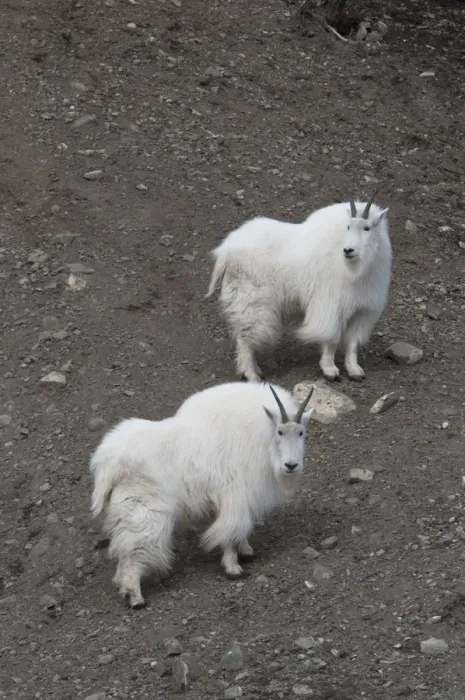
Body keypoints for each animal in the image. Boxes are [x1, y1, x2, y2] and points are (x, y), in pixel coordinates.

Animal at [90, 381, 314, 608]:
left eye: (302, 433)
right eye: (280, 431)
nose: (291, 465)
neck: (261, 437)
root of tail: (108, 464)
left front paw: (246, 551)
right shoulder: (234, 496)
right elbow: (232, 529)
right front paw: (233, 568)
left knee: (124, 549)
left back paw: (122, 587)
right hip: (146, 514)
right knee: (134, 551)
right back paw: (135, 597)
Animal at [206, 192, 391, 382]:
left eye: (367, 228)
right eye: (348, 226)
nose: (348, 250)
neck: (358, 269)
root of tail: (224, 253)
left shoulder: (363, 310)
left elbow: (353, 343)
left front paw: (355, 370)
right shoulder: (330, 306)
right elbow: (331, 339)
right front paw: (330, 370)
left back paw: (256, 370)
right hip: (250, 302)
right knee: (245, 339)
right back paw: (251, 374)